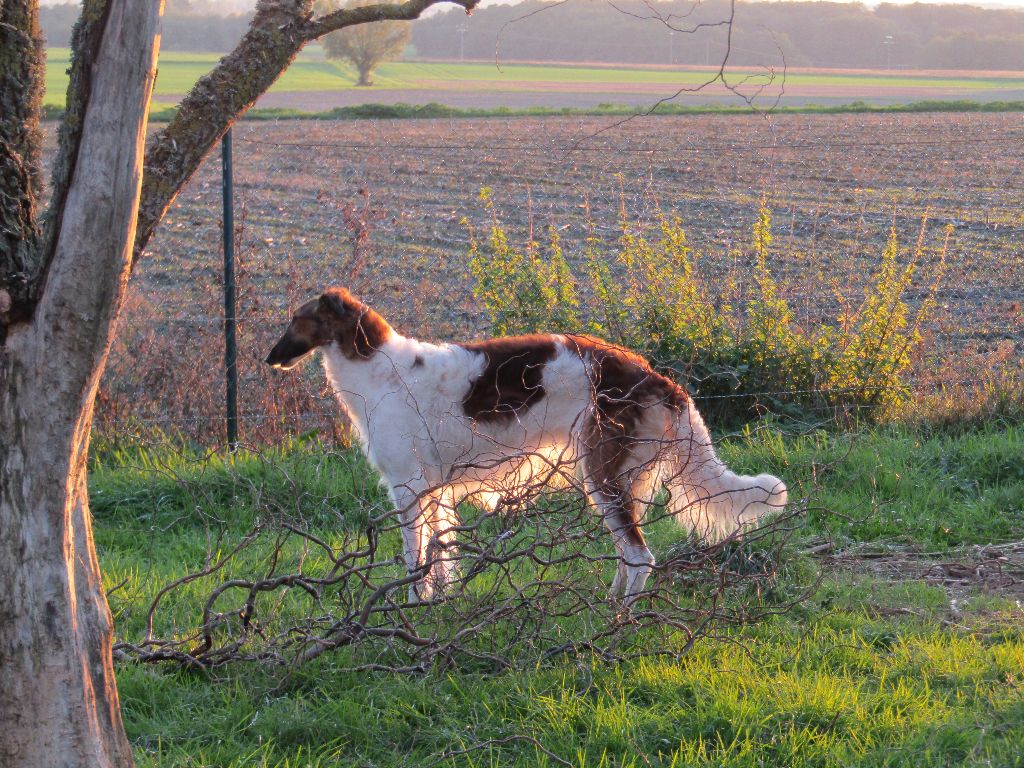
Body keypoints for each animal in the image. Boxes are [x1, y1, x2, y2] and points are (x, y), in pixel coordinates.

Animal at [268, 288, 786, 606]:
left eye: (296, 320)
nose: (271, 359)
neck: (378, 368)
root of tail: (661, 381)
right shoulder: (433, 491)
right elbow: (440, 558)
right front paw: (439, 605)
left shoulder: (408, 488)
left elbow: (416, 563)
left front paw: (412, 608)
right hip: (622, 480)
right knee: (630, 554)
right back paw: (608, 602)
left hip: (602, 477)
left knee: (641, 557)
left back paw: (617, 619)